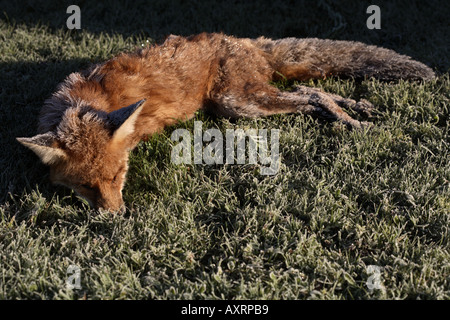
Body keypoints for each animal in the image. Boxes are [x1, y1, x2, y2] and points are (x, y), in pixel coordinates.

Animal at [17, 32, 436, 212]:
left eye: (119, 175)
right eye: (86, 186)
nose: (116, 215)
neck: (83, 101)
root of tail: (245, 40)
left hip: (237, 104)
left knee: (312, 95)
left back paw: (351, 120)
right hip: (247, 101)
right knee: (309, 88)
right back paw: (358, 108)